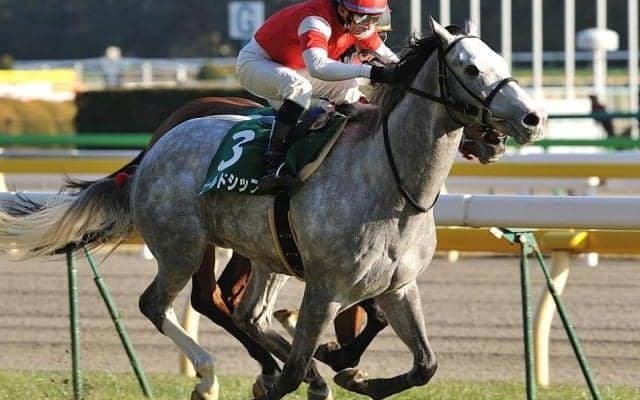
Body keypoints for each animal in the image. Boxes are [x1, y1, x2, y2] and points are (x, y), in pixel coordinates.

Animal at [0, 18, 545, 400]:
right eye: (471, 68)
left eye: (500, 59)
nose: (533, 117)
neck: (391, 186)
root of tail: (155, 146)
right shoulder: (325, 287)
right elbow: (301, 364)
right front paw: (326, 365)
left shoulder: (398, 286)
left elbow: (424, 364)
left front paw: (354, 375)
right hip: (184, 246)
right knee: (164, 304)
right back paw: (209, 374)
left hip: (267, 255)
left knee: (250, 314)